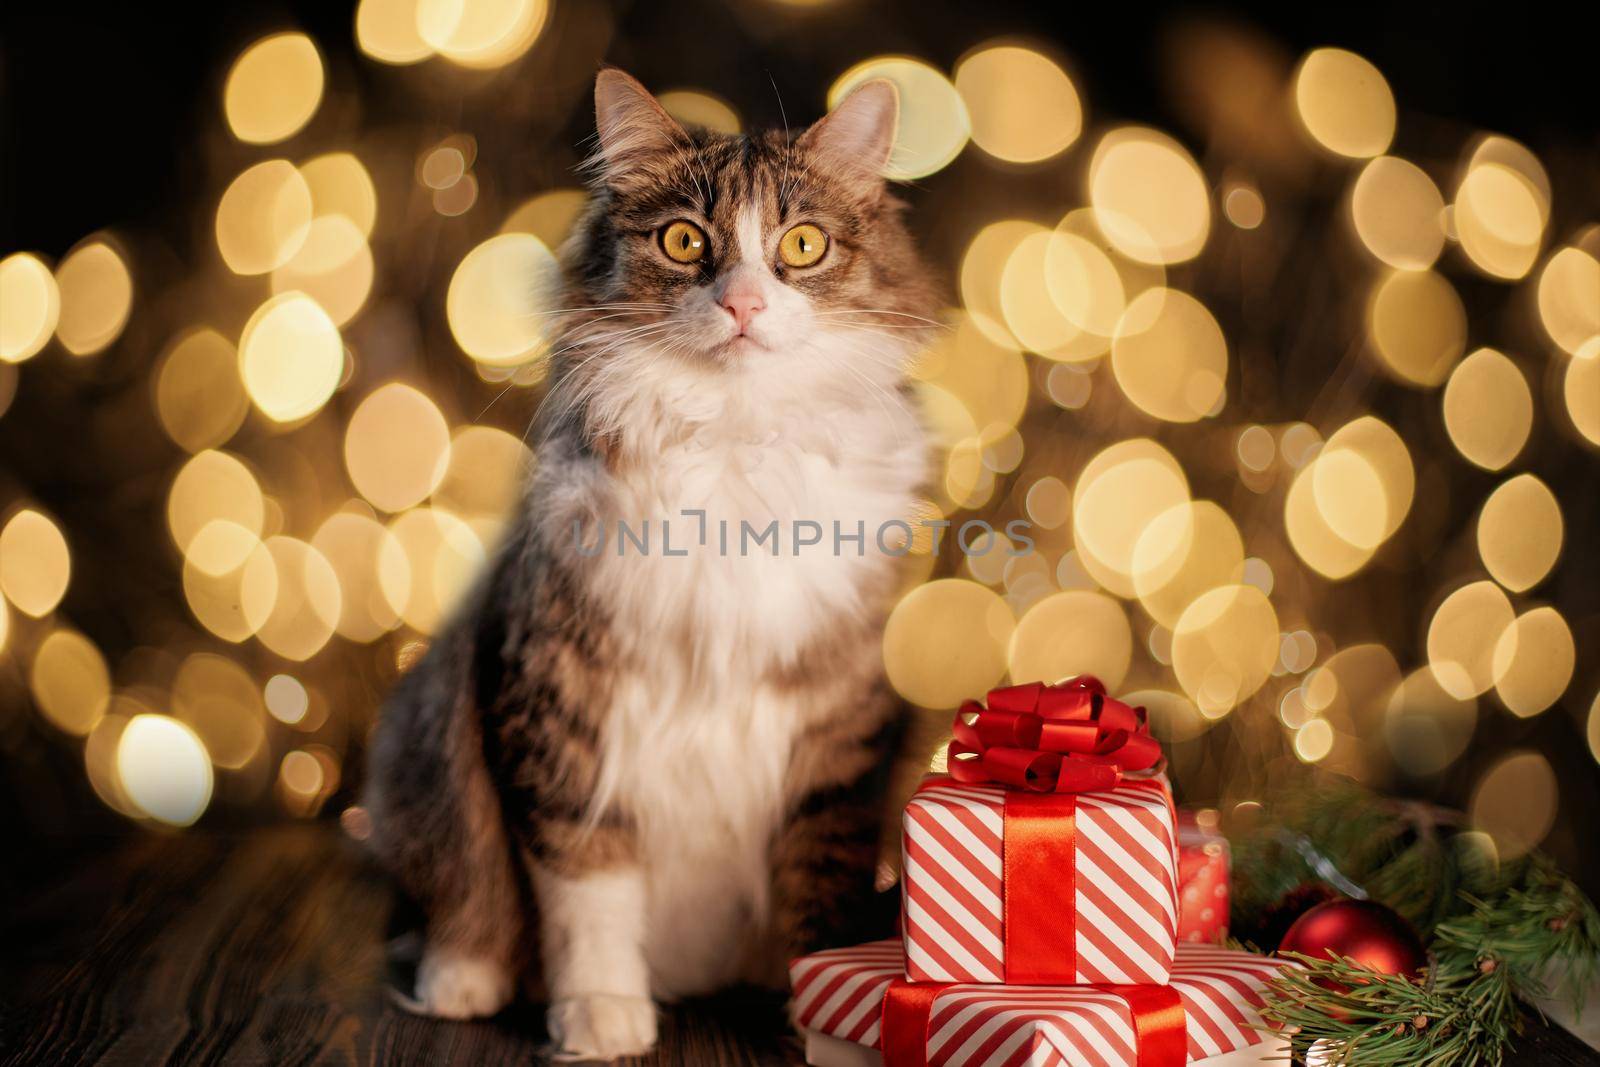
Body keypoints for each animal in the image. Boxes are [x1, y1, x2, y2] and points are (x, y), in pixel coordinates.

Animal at [363, 70, 934, 1062]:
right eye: (684, 241)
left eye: (803, 244)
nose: (744, 304)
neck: (734, 447)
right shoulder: (562, 702)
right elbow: (588, 889)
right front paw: (600, 1014)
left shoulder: (835, 727)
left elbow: (818, 880)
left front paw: (818, 1020)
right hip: (426, 740)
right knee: (460, 901)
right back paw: (464, 976)